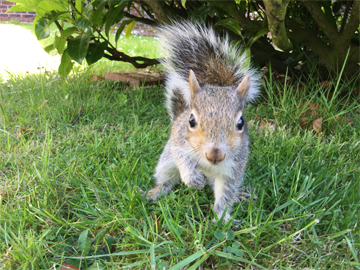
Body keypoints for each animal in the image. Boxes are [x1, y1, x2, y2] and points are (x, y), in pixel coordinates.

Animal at [147, 21, 262, 224]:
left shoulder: (232, 170)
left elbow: (225, 196)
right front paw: (192, 178)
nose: (214, 154)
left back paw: (239, 196)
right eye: (191, 121)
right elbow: (182, 158)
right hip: (166, 162)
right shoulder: (178, 143)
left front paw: (223, 219)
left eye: (240, 123)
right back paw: (157, 191)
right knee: (166, 178)